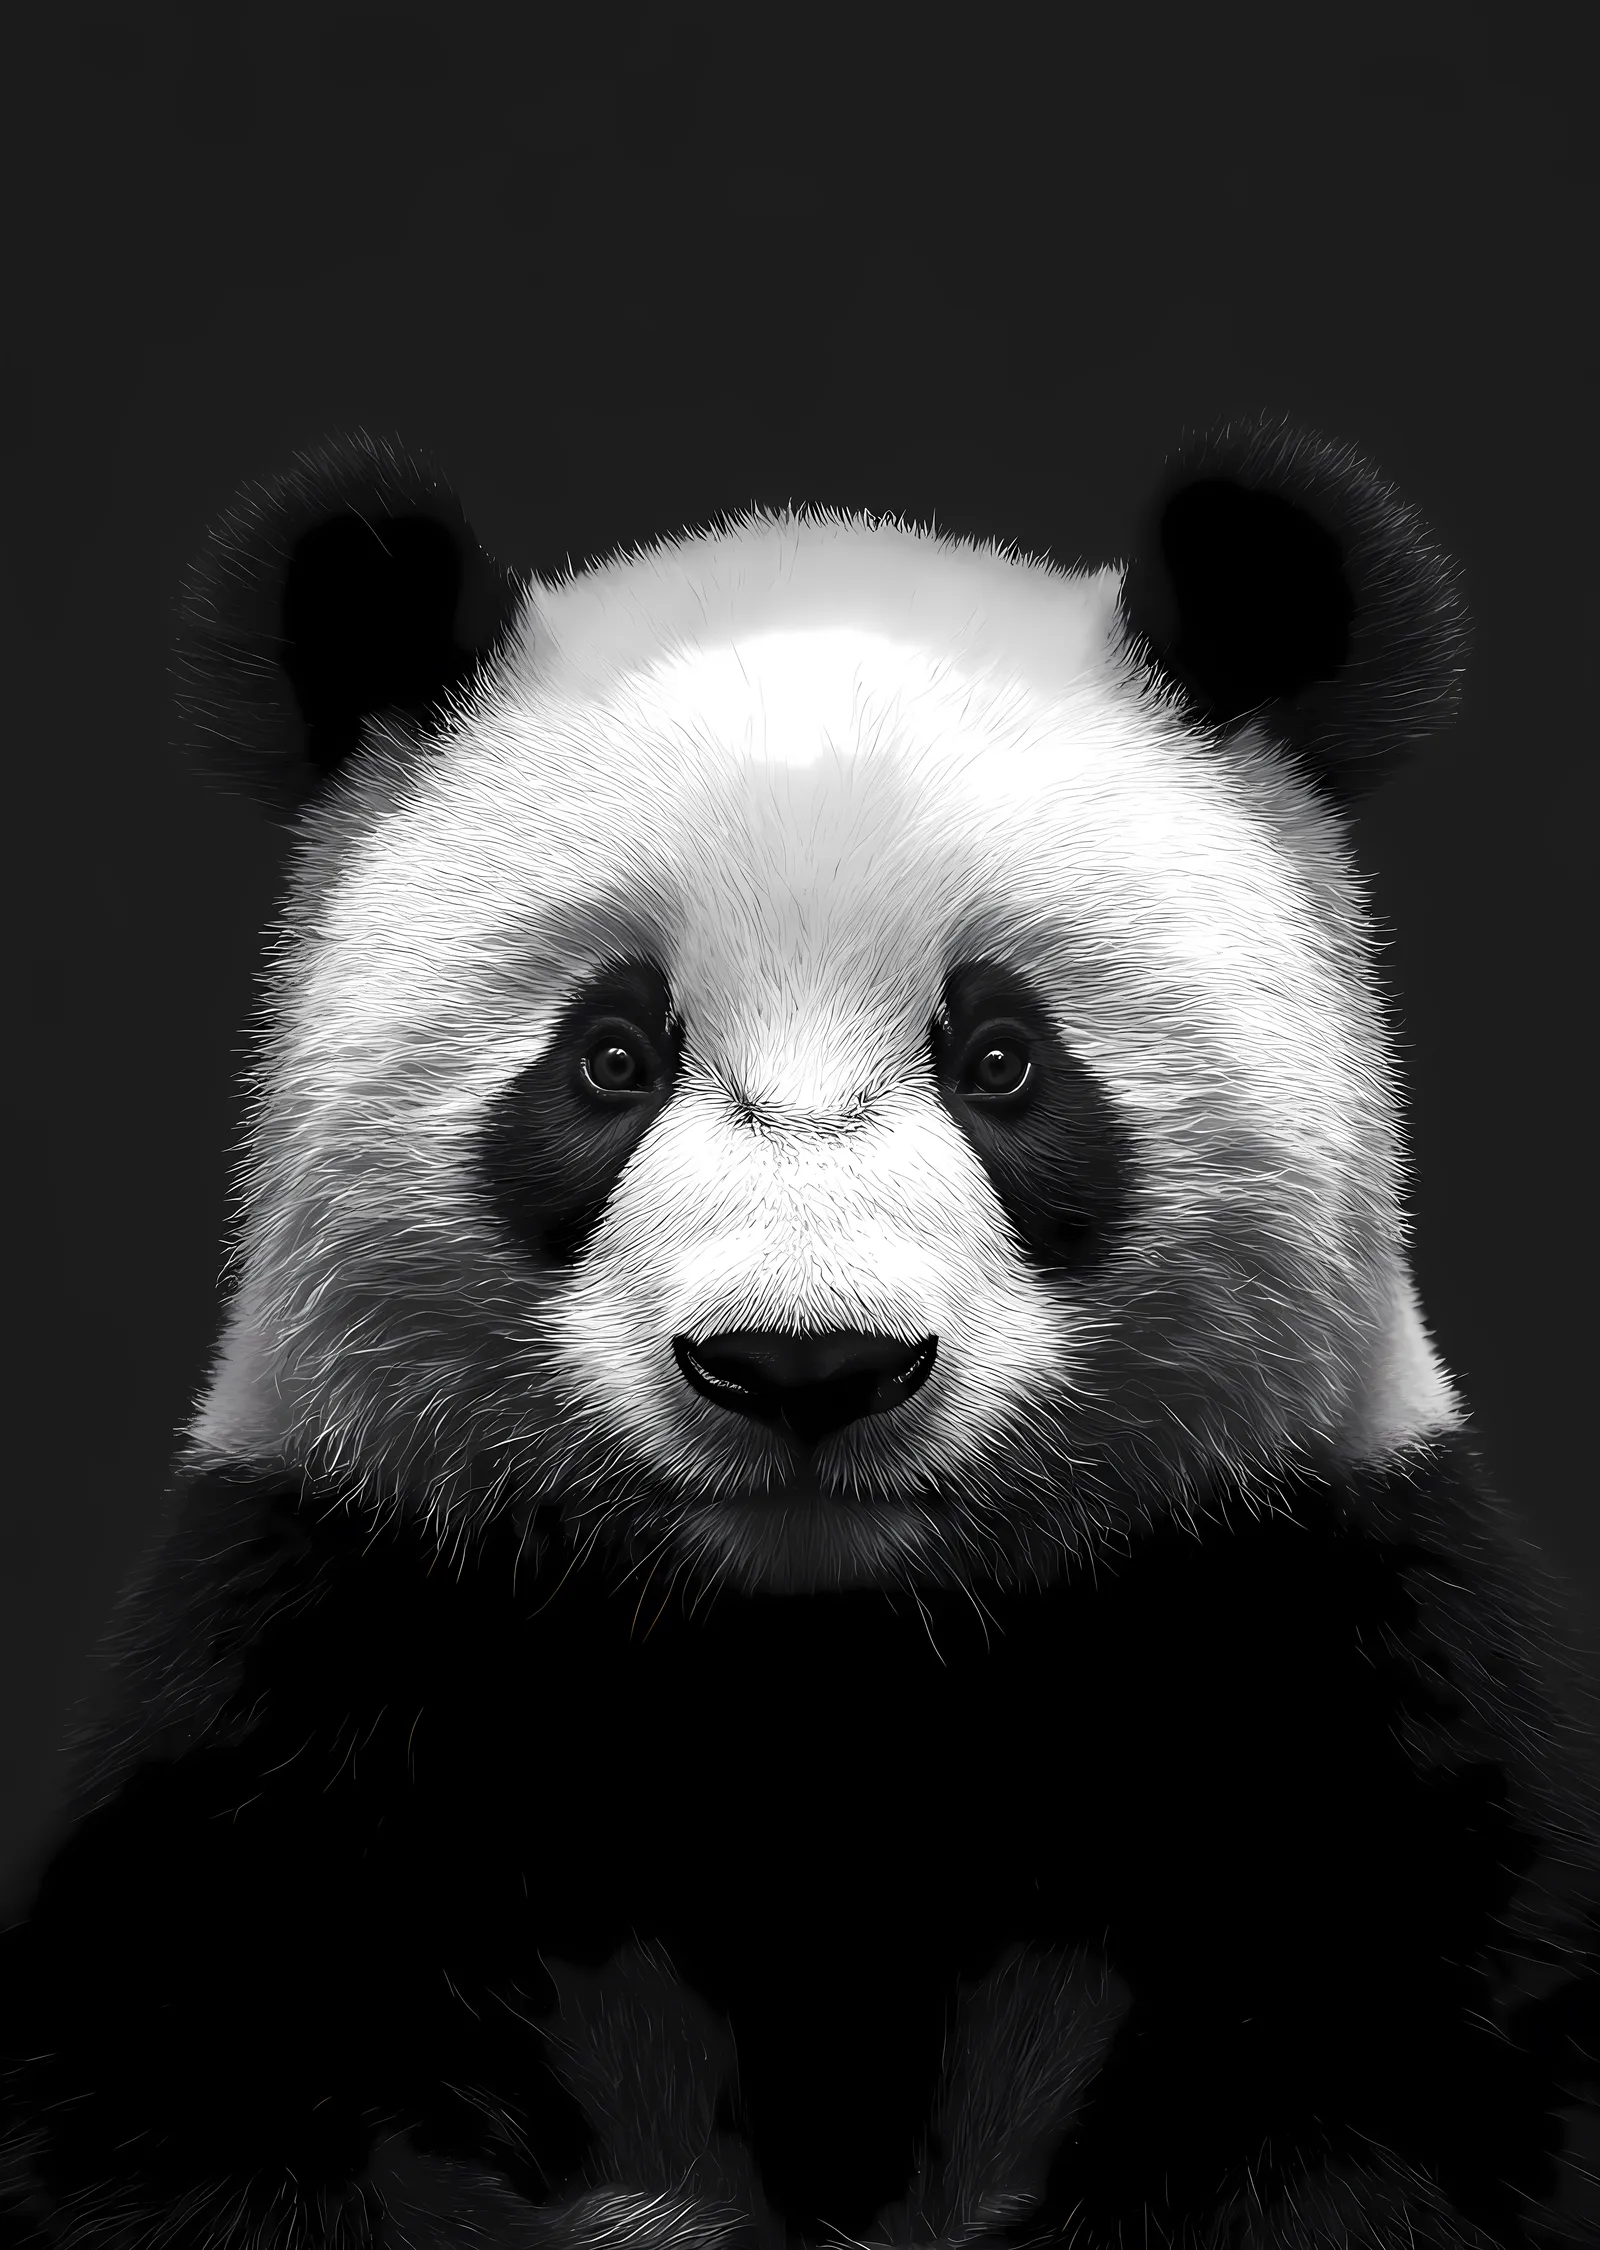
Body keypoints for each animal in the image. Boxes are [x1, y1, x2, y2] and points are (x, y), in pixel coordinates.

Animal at [2, 421, 1597, 2250]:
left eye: (1005, 1059)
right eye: (610, 1056)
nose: (803, 1366)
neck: (821, 1665)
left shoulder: (1313, 1612)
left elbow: (1400, 2071)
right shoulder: (341, 1635)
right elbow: (197, 2077)